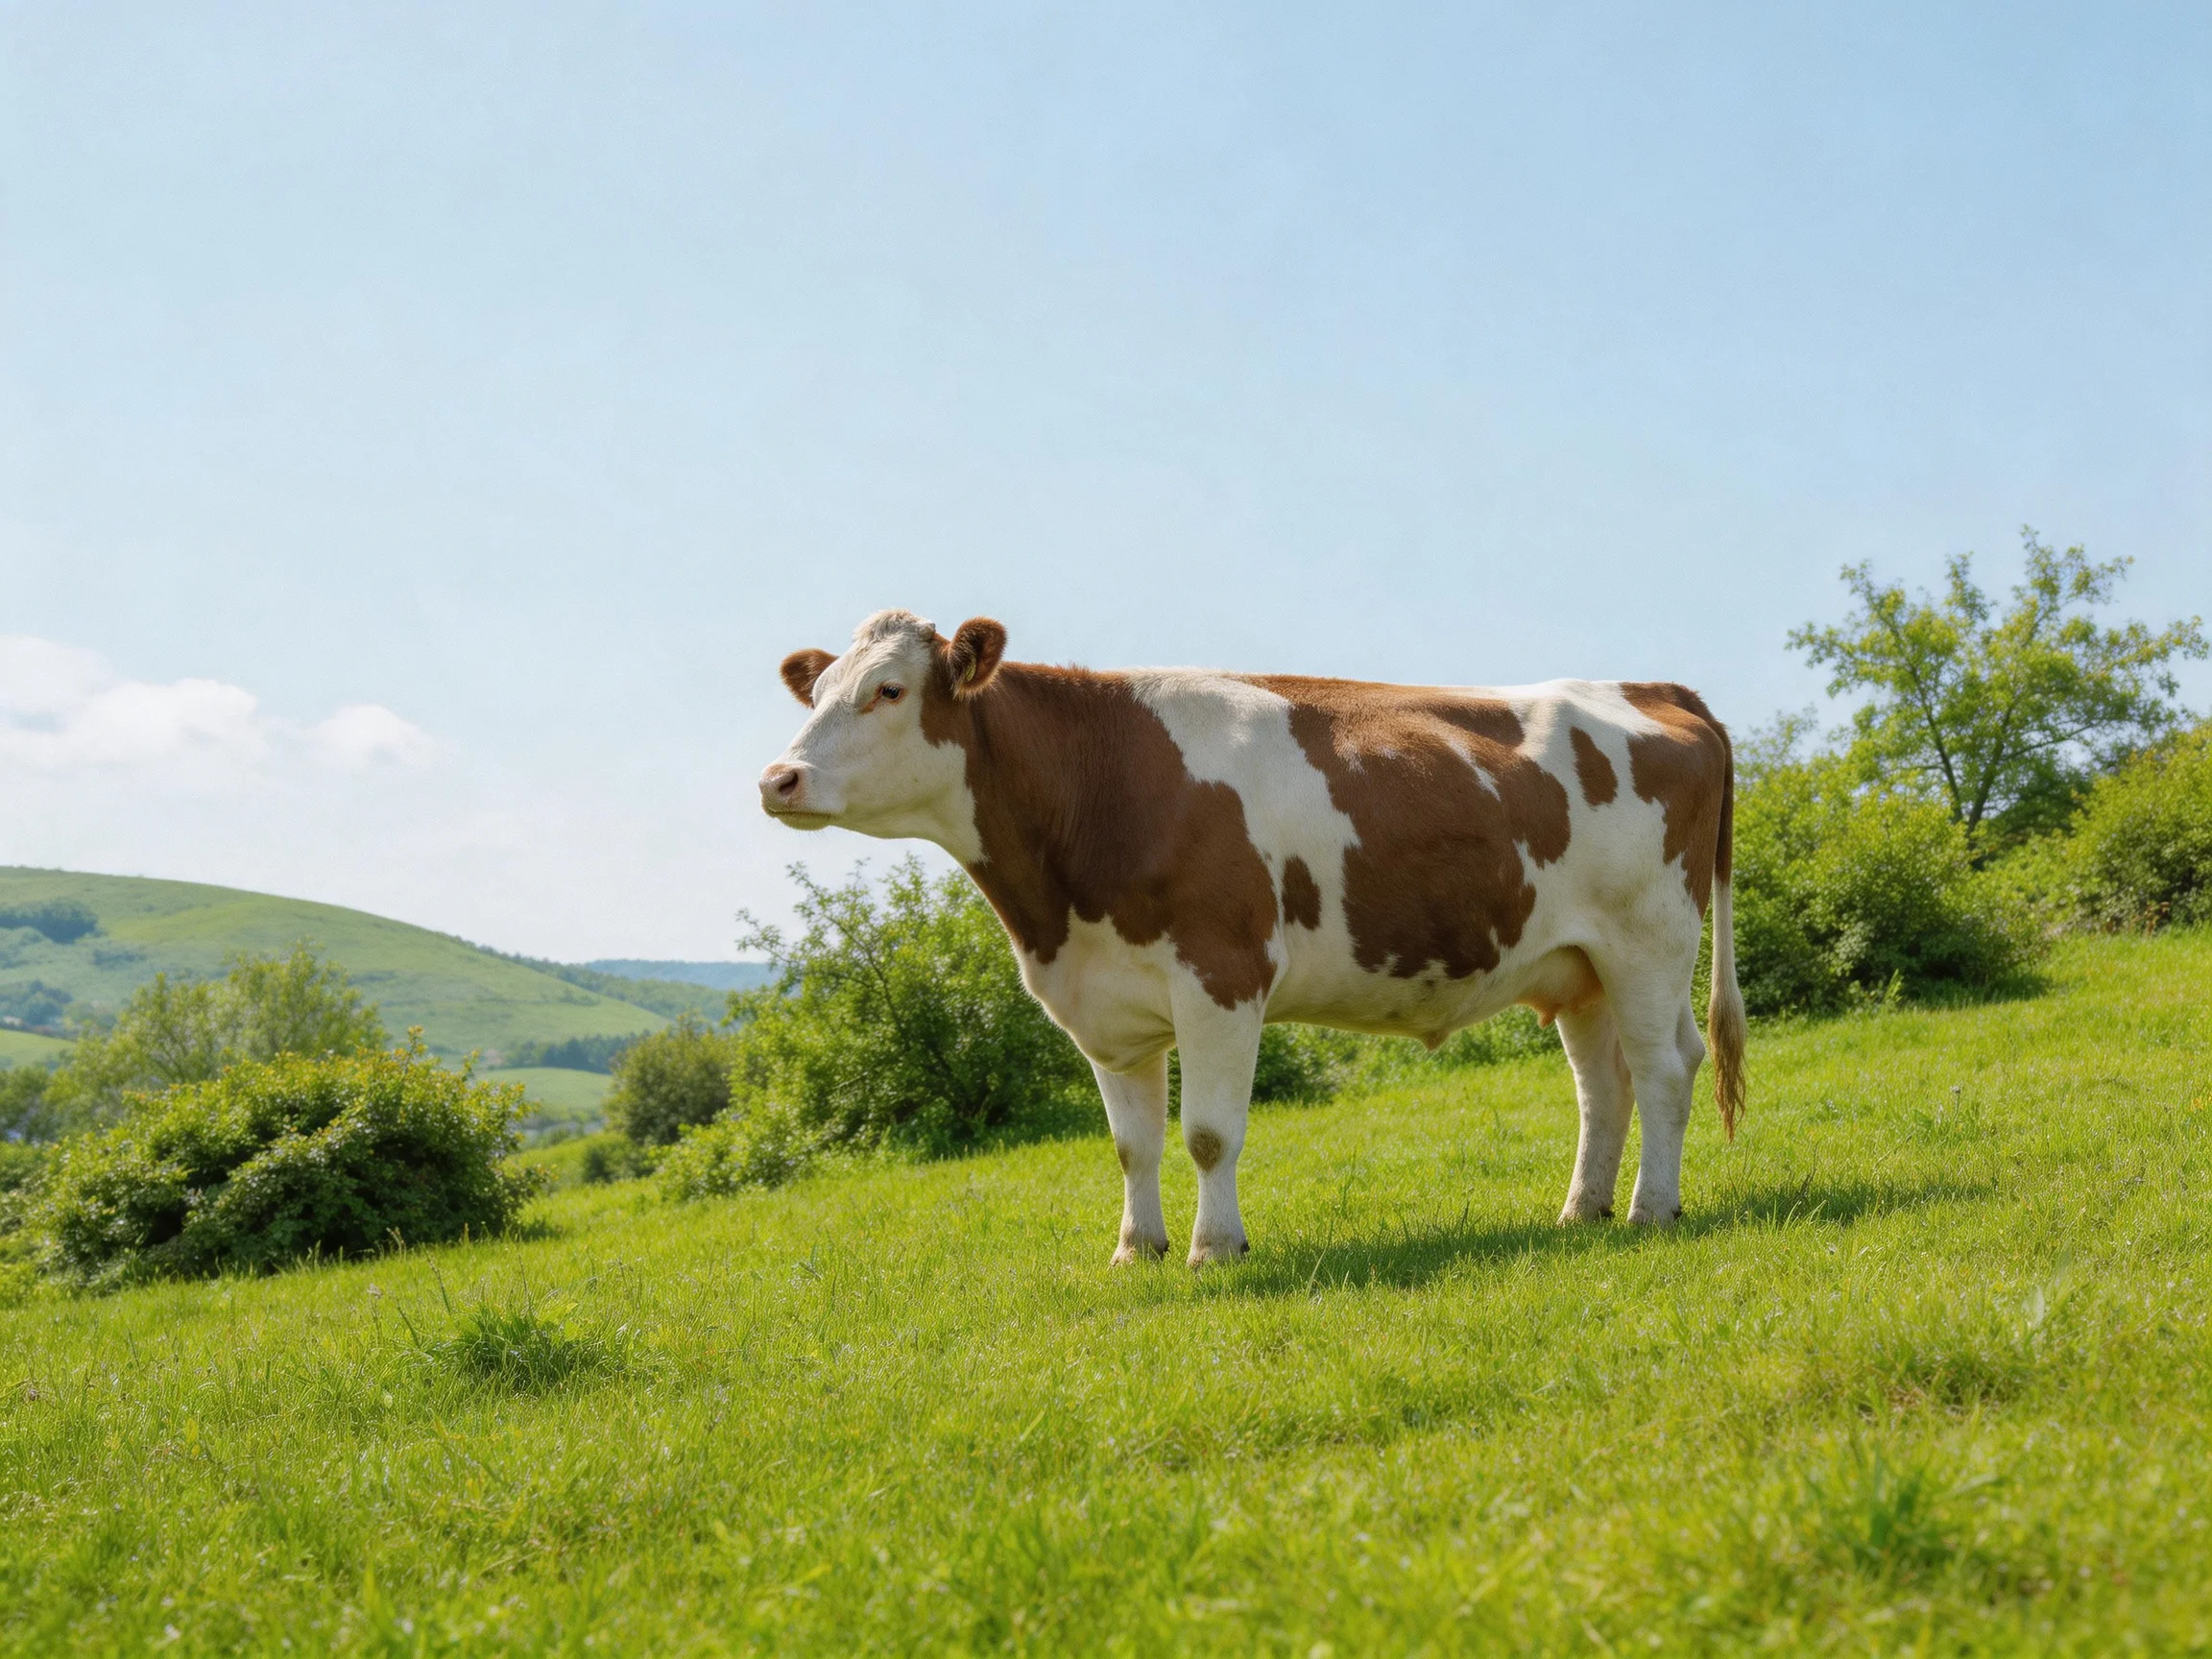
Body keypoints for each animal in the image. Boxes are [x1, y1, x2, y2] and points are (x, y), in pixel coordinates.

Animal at [759, 610, 1745, 1266]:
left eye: (888, 691)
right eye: (817, 691)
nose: (778, 778)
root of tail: (1649, 686)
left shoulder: (1220, 977)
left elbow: (1207, 1134)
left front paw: (1215, 1249)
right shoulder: (1107, 1006)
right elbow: (1133, 1144)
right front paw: (1137, 1250)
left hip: (1649, 940)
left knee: (1664, 1068)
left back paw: (1653, 1209)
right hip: (1578, 964)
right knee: (1603, 1086)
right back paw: (1583, 1212)